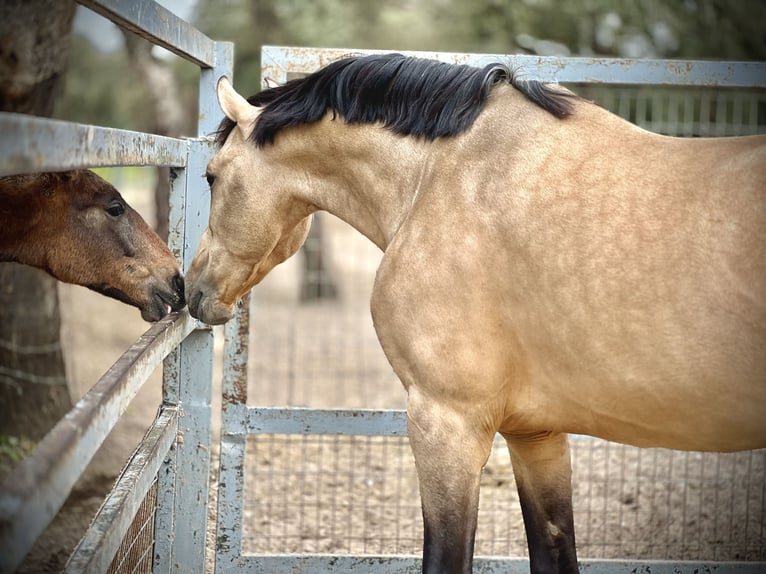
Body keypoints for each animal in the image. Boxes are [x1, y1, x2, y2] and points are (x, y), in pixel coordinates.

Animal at [186, 53, 766, 572]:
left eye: (211, 176)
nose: (191, 288)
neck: (438, 177)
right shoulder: (537, 434)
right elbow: (554, 548)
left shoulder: (447, 424)